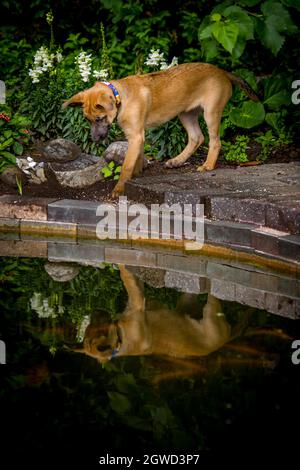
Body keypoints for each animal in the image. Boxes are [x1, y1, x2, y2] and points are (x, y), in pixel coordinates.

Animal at [64, 62, 258, 195]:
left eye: (100, 119)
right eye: (87, 120)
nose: (95, 139)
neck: (121, 97)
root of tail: (222, 71)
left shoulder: (135, 135)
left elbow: (126, 165)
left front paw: (119, 188)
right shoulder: (138, 136)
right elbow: (137, 157)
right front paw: (136, 174)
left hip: (211, 112)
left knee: (214, 141)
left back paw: (208, 165)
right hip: (186, 113)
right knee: (197, 137)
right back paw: (177, 161)